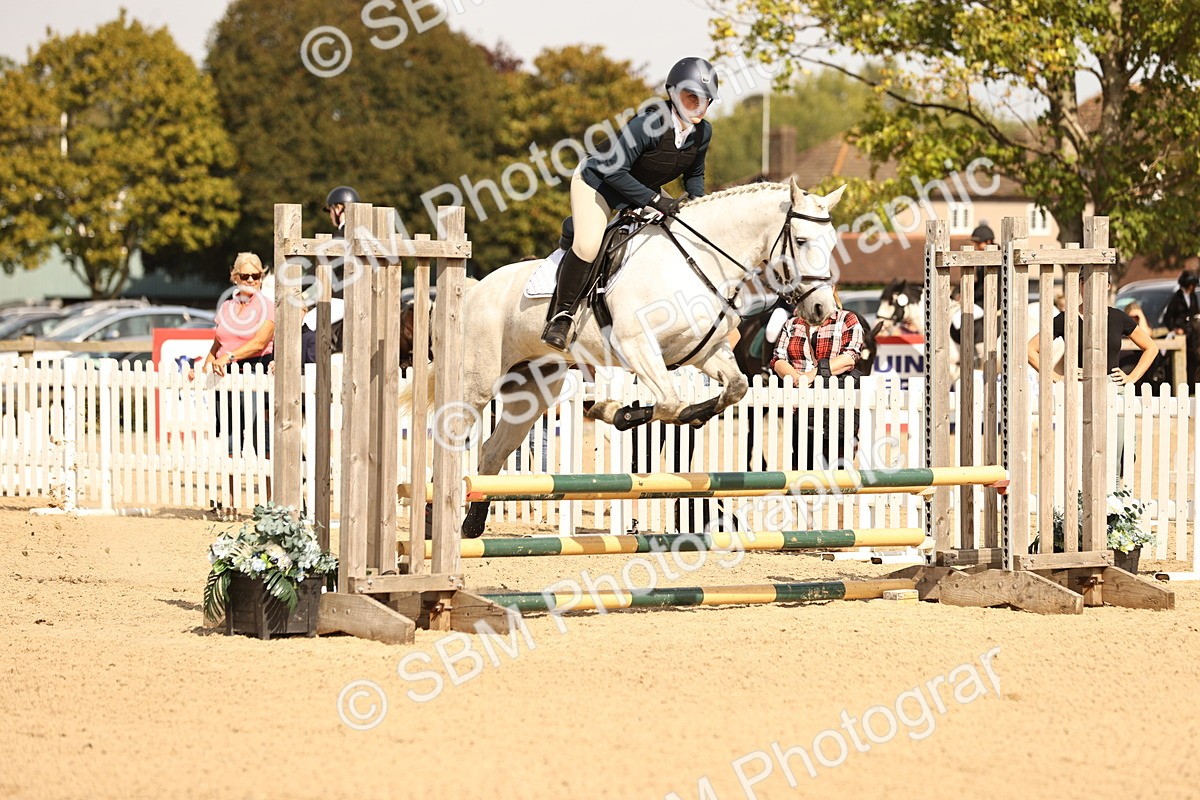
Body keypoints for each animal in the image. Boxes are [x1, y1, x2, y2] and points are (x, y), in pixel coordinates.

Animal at [402, 178, 847, 536]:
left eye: (831, 244)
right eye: (801, 242)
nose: (823, 309)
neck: (697, 261)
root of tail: (472, 289)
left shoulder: (704, 351)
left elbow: (732, 389)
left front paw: (670, 413)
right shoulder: (637, 346)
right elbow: (669, 403)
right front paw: (615, 411)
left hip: (532, 391)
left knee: (492, 452)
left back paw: (472, 525)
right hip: (476, 382)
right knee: (449, 435)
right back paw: (432, 520)